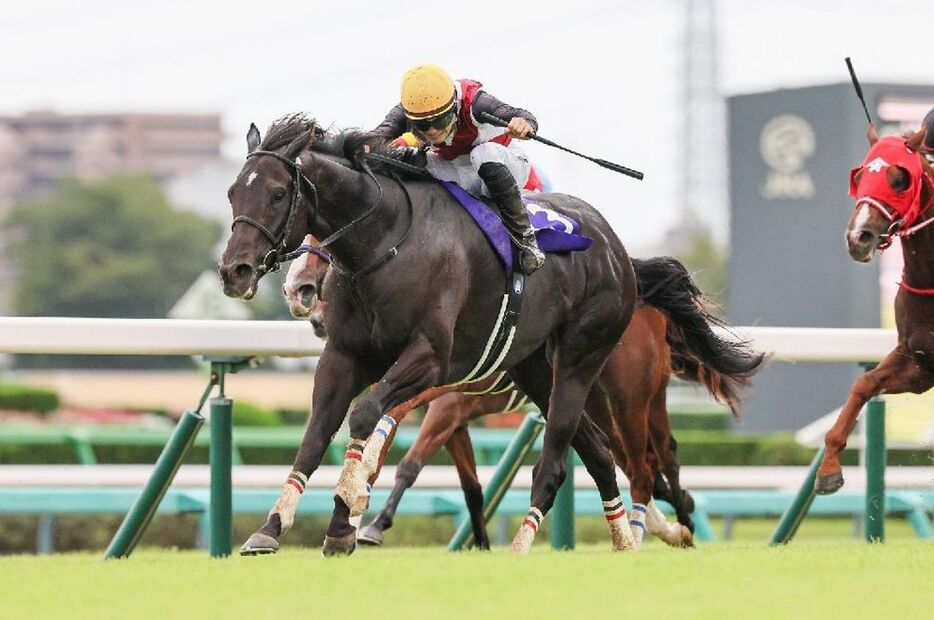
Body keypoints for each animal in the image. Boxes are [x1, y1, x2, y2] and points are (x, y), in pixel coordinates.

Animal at [223, 116, 764, 556]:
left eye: (277, 193)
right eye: (232, 193)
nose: (235, 271)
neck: (386, 242)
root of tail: (620, 253)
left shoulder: (430, 363)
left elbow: (367, 420)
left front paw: (347, 518)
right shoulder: (348, 357)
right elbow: (318, 435)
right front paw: (272, 529)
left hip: (596, 369)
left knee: (620, 460)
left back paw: (554, 539)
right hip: (535, 367)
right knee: (600, 451)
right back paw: (625, 538)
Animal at [816, 126, 934, 494]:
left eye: (899, 180)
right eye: (860, 177)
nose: (859, 237)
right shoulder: (918, 362)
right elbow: (864, 384)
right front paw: (828, 468)